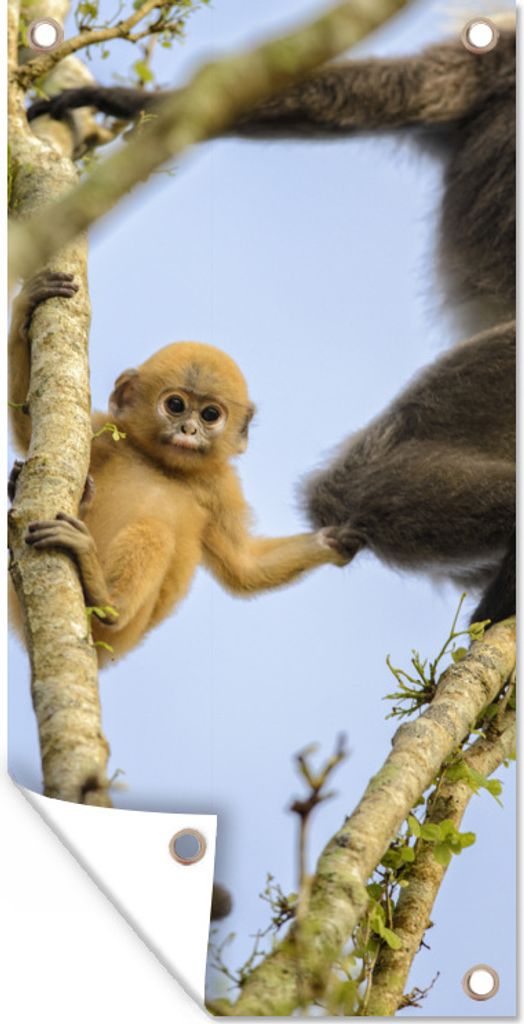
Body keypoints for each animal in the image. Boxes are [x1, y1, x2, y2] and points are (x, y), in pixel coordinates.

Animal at [9, 272, 348, 667]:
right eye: (175, 405)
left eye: (210, 415)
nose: (188, 430)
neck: (164, 468)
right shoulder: (109, 435)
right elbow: (31, 432)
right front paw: (26, 306)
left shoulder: (220, 487)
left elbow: (244, 567)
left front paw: (332, 541)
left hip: (129, 627)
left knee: (155, 531)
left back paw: (105, 598)